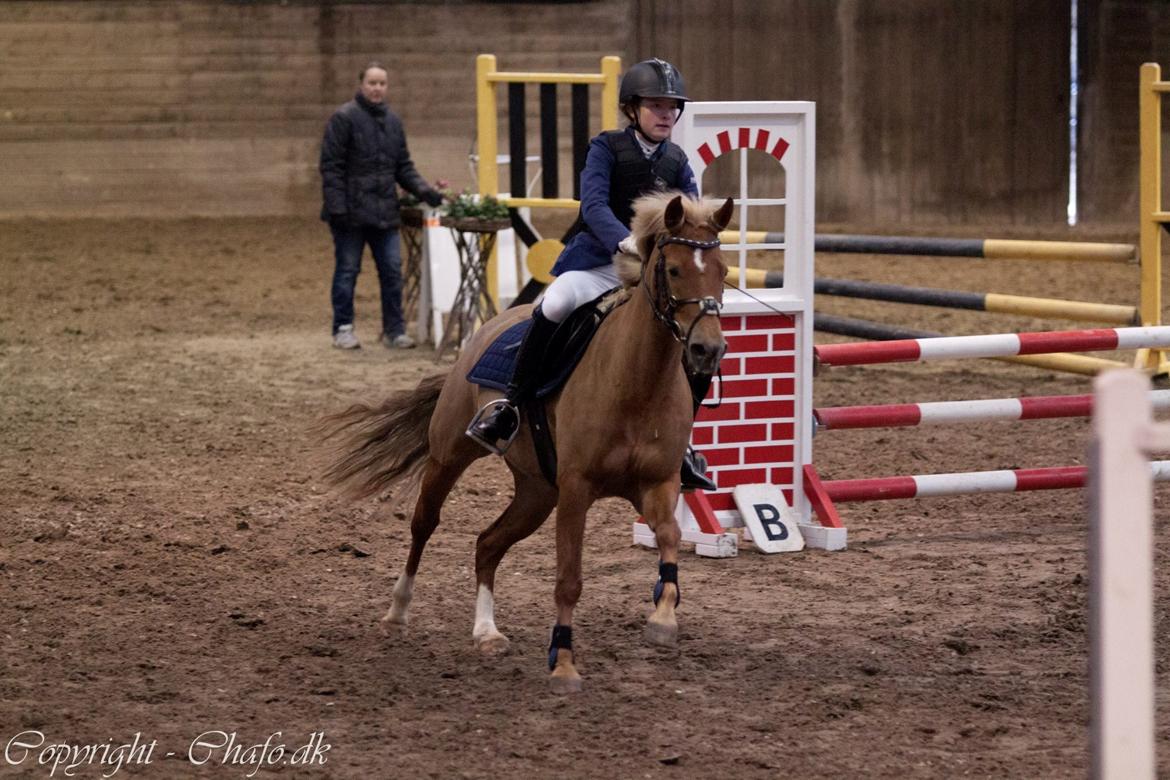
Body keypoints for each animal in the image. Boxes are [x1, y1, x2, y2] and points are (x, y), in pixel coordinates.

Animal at [320, 192, 734, 693]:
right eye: (673, 269)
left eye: (723, 271)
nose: (708, 350)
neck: (638, 381)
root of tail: (487, 327)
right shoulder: (576, 490)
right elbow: (569, 578)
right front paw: (564, 663)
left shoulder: (659, 483)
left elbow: (671, 538)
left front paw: (663, 620)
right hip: (450, 457)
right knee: (423, 525)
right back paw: (397, 613)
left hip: (537, 493)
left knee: (487, 543)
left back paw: (486, 632)